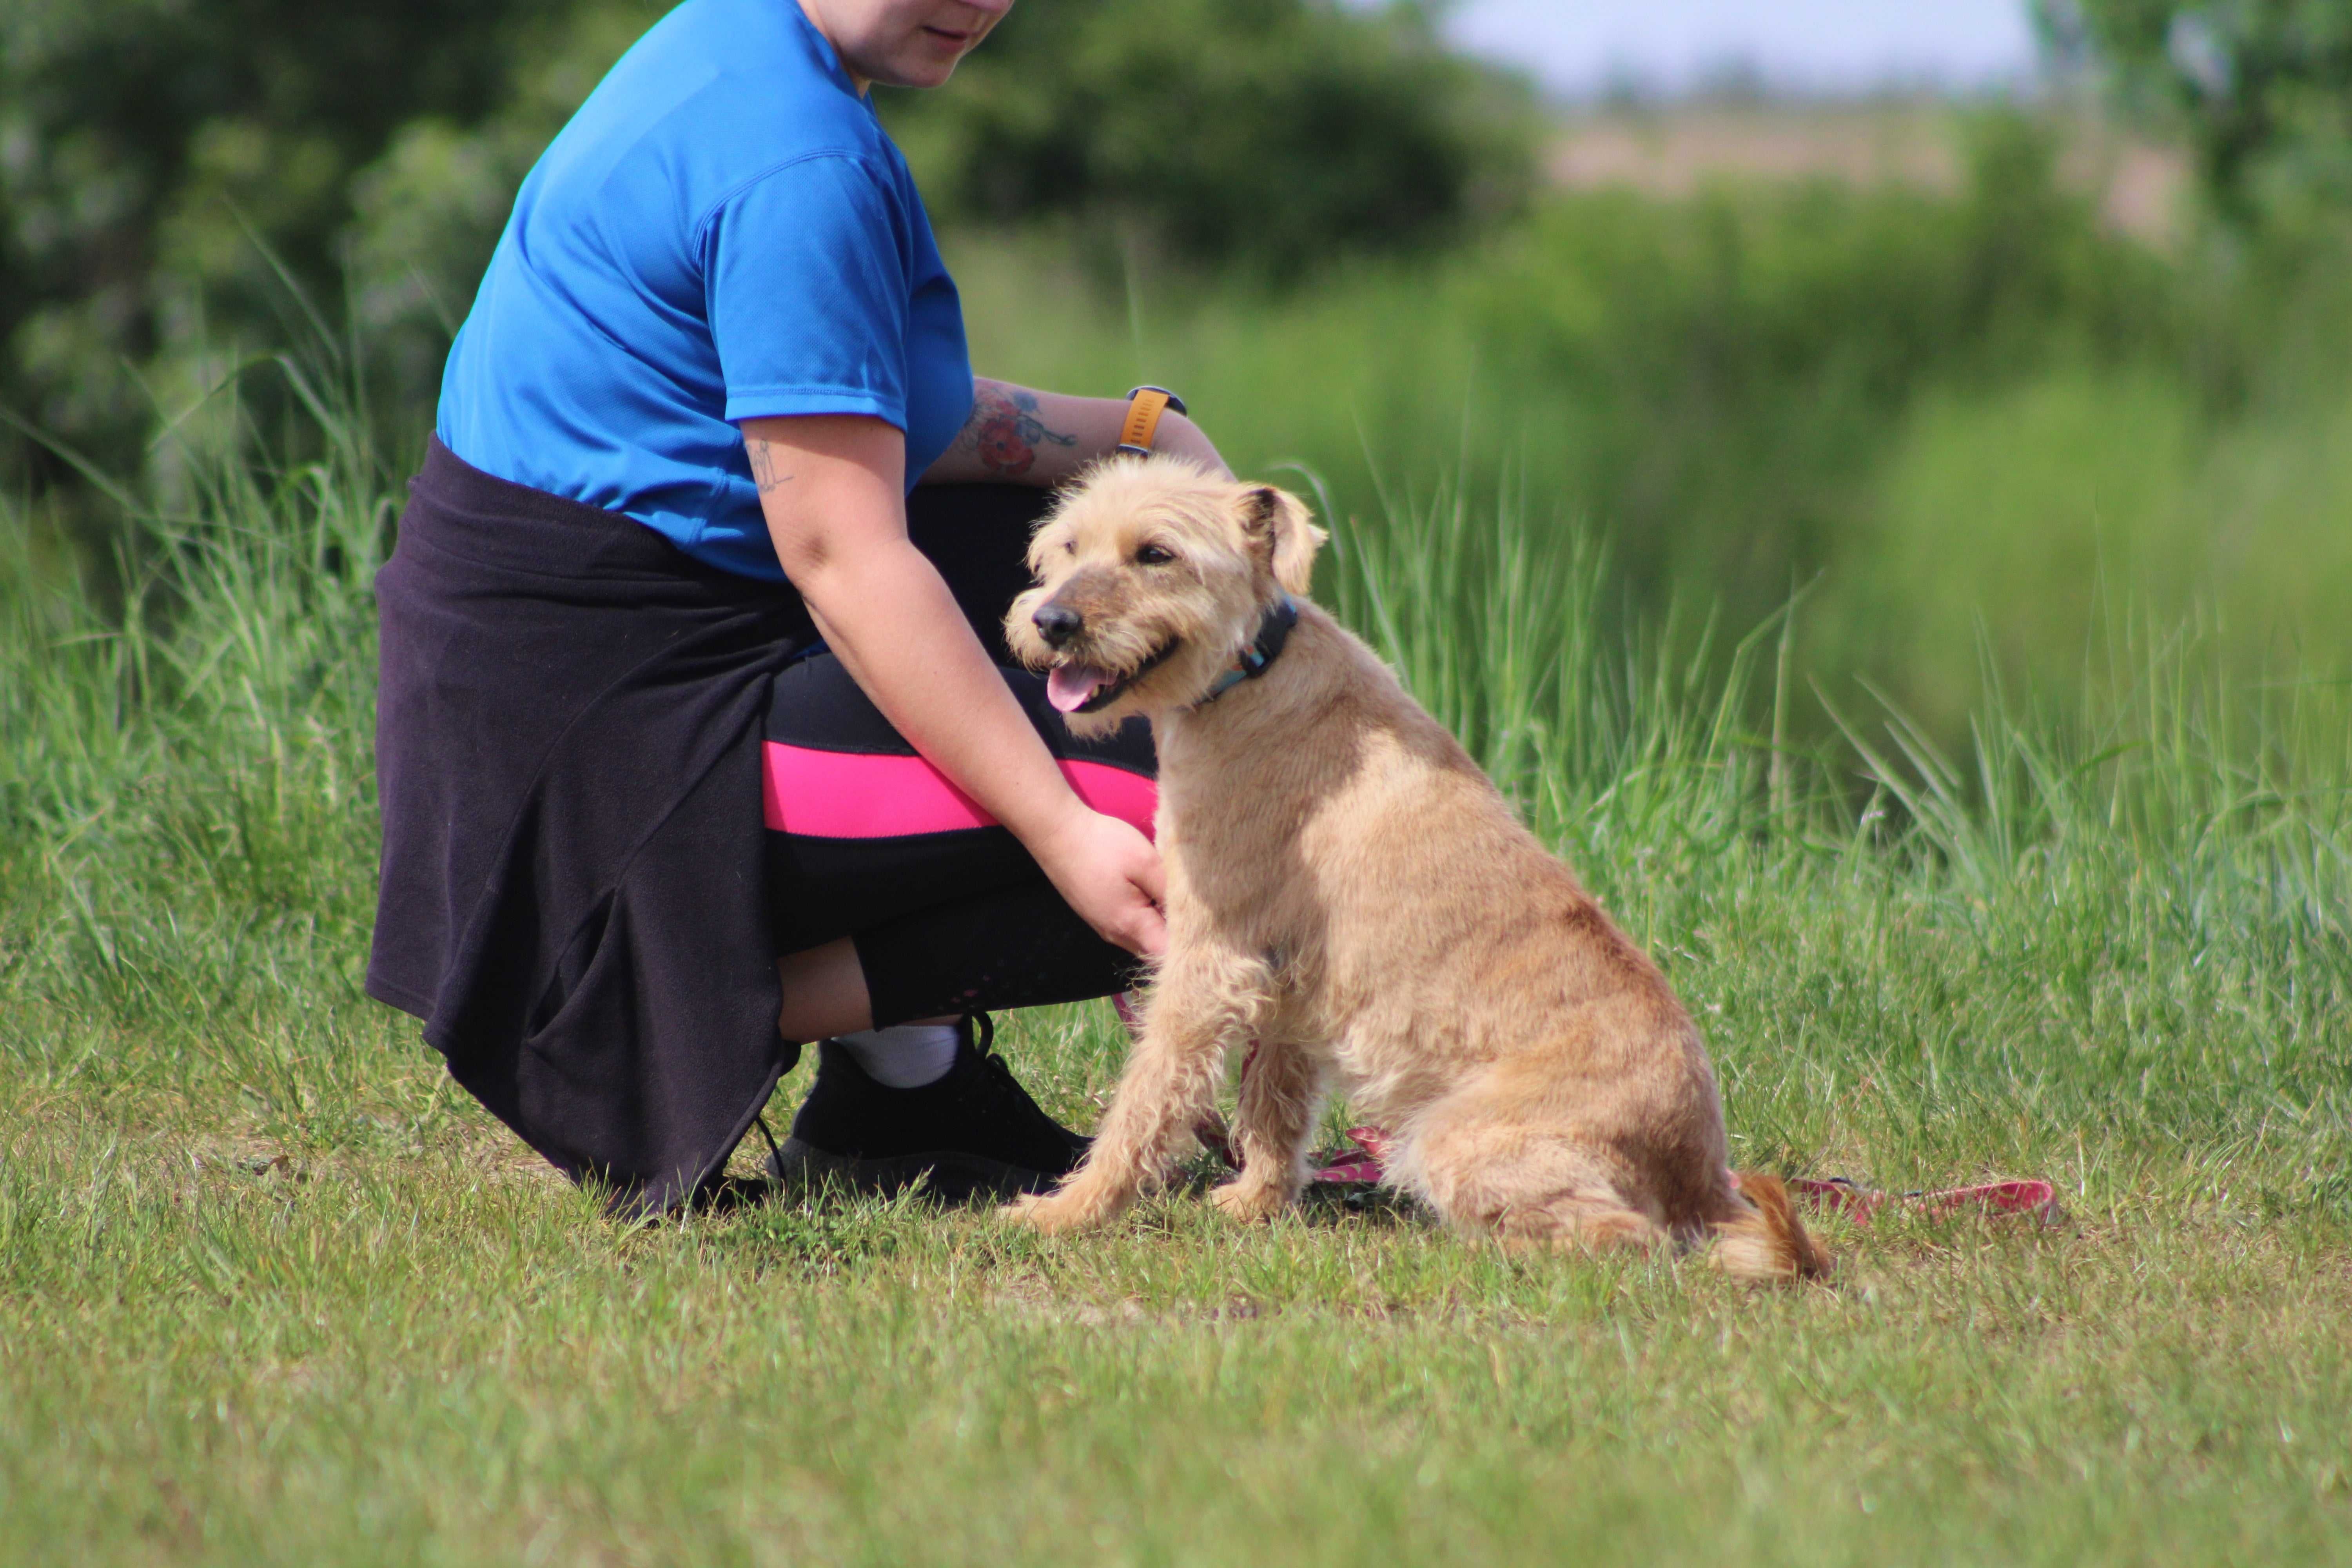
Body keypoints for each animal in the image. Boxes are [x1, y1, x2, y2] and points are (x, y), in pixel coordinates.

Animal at [1002, 454, 1825, 1288]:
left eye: (1156, 554)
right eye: (1068, 546)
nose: (1052, 623)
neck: (1251, 673)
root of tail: (1703, 1175)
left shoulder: (1209, 958)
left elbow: (1146, 1098)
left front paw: (1066, 1213)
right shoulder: (1286, 979)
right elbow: (1273, 1103)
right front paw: (1257, 1202)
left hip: (1455, 1138)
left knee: (1628, 1241)